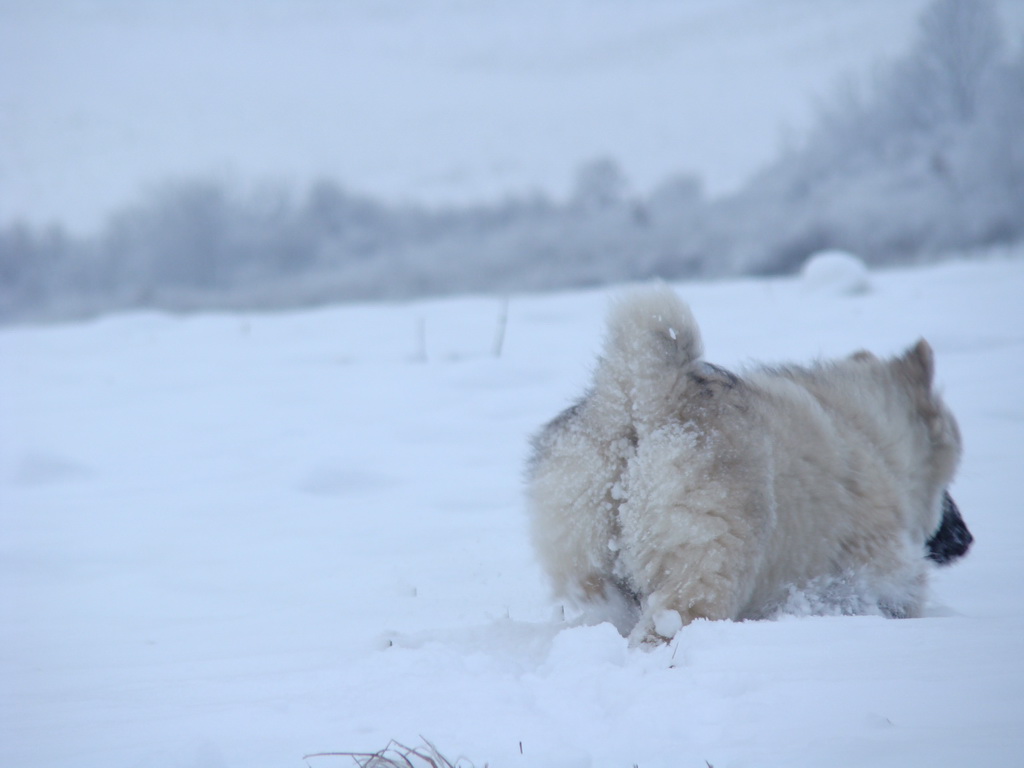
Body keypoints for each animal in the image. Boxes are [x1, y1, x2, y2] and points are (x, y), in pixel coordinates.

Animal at [528, 286, 966, 647]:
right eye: (948, 486)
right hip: (705, 559)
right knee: (670, 623)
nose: (966, 539)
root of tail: (647, 394)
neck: (875, 440)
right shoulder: (876, 563)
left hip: (588, 558)